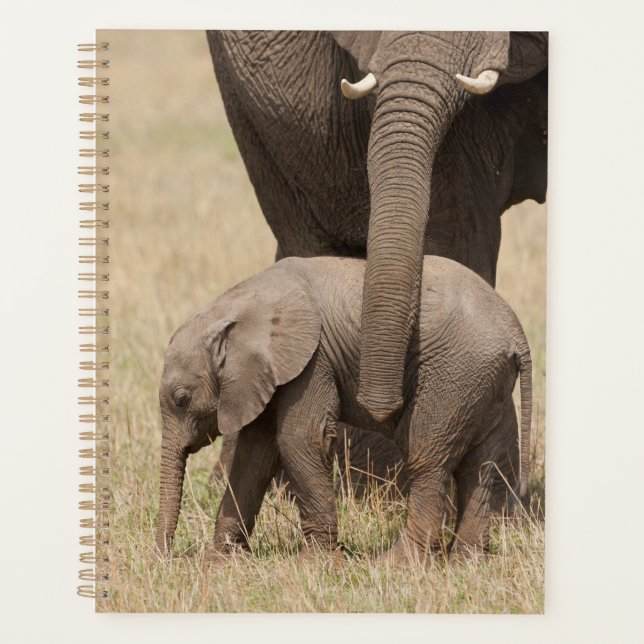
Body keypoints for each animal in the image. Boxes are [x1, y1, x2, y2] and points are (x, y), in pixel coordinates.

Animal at [155, 255, 532, 562]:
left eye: (182, 399)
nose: (168, 559)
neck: (235, 307)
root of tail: (516, 333)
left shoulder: (312, 360)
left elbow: (299, 439)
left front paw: (314, 564)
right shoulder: (265, 375)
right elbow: (255, 455)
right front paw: (219, 562)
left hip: (455, 377)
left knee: (428, 460)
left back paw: (397, 565)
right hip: (485, 383)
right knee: (483, 466)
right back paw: (466, 563)